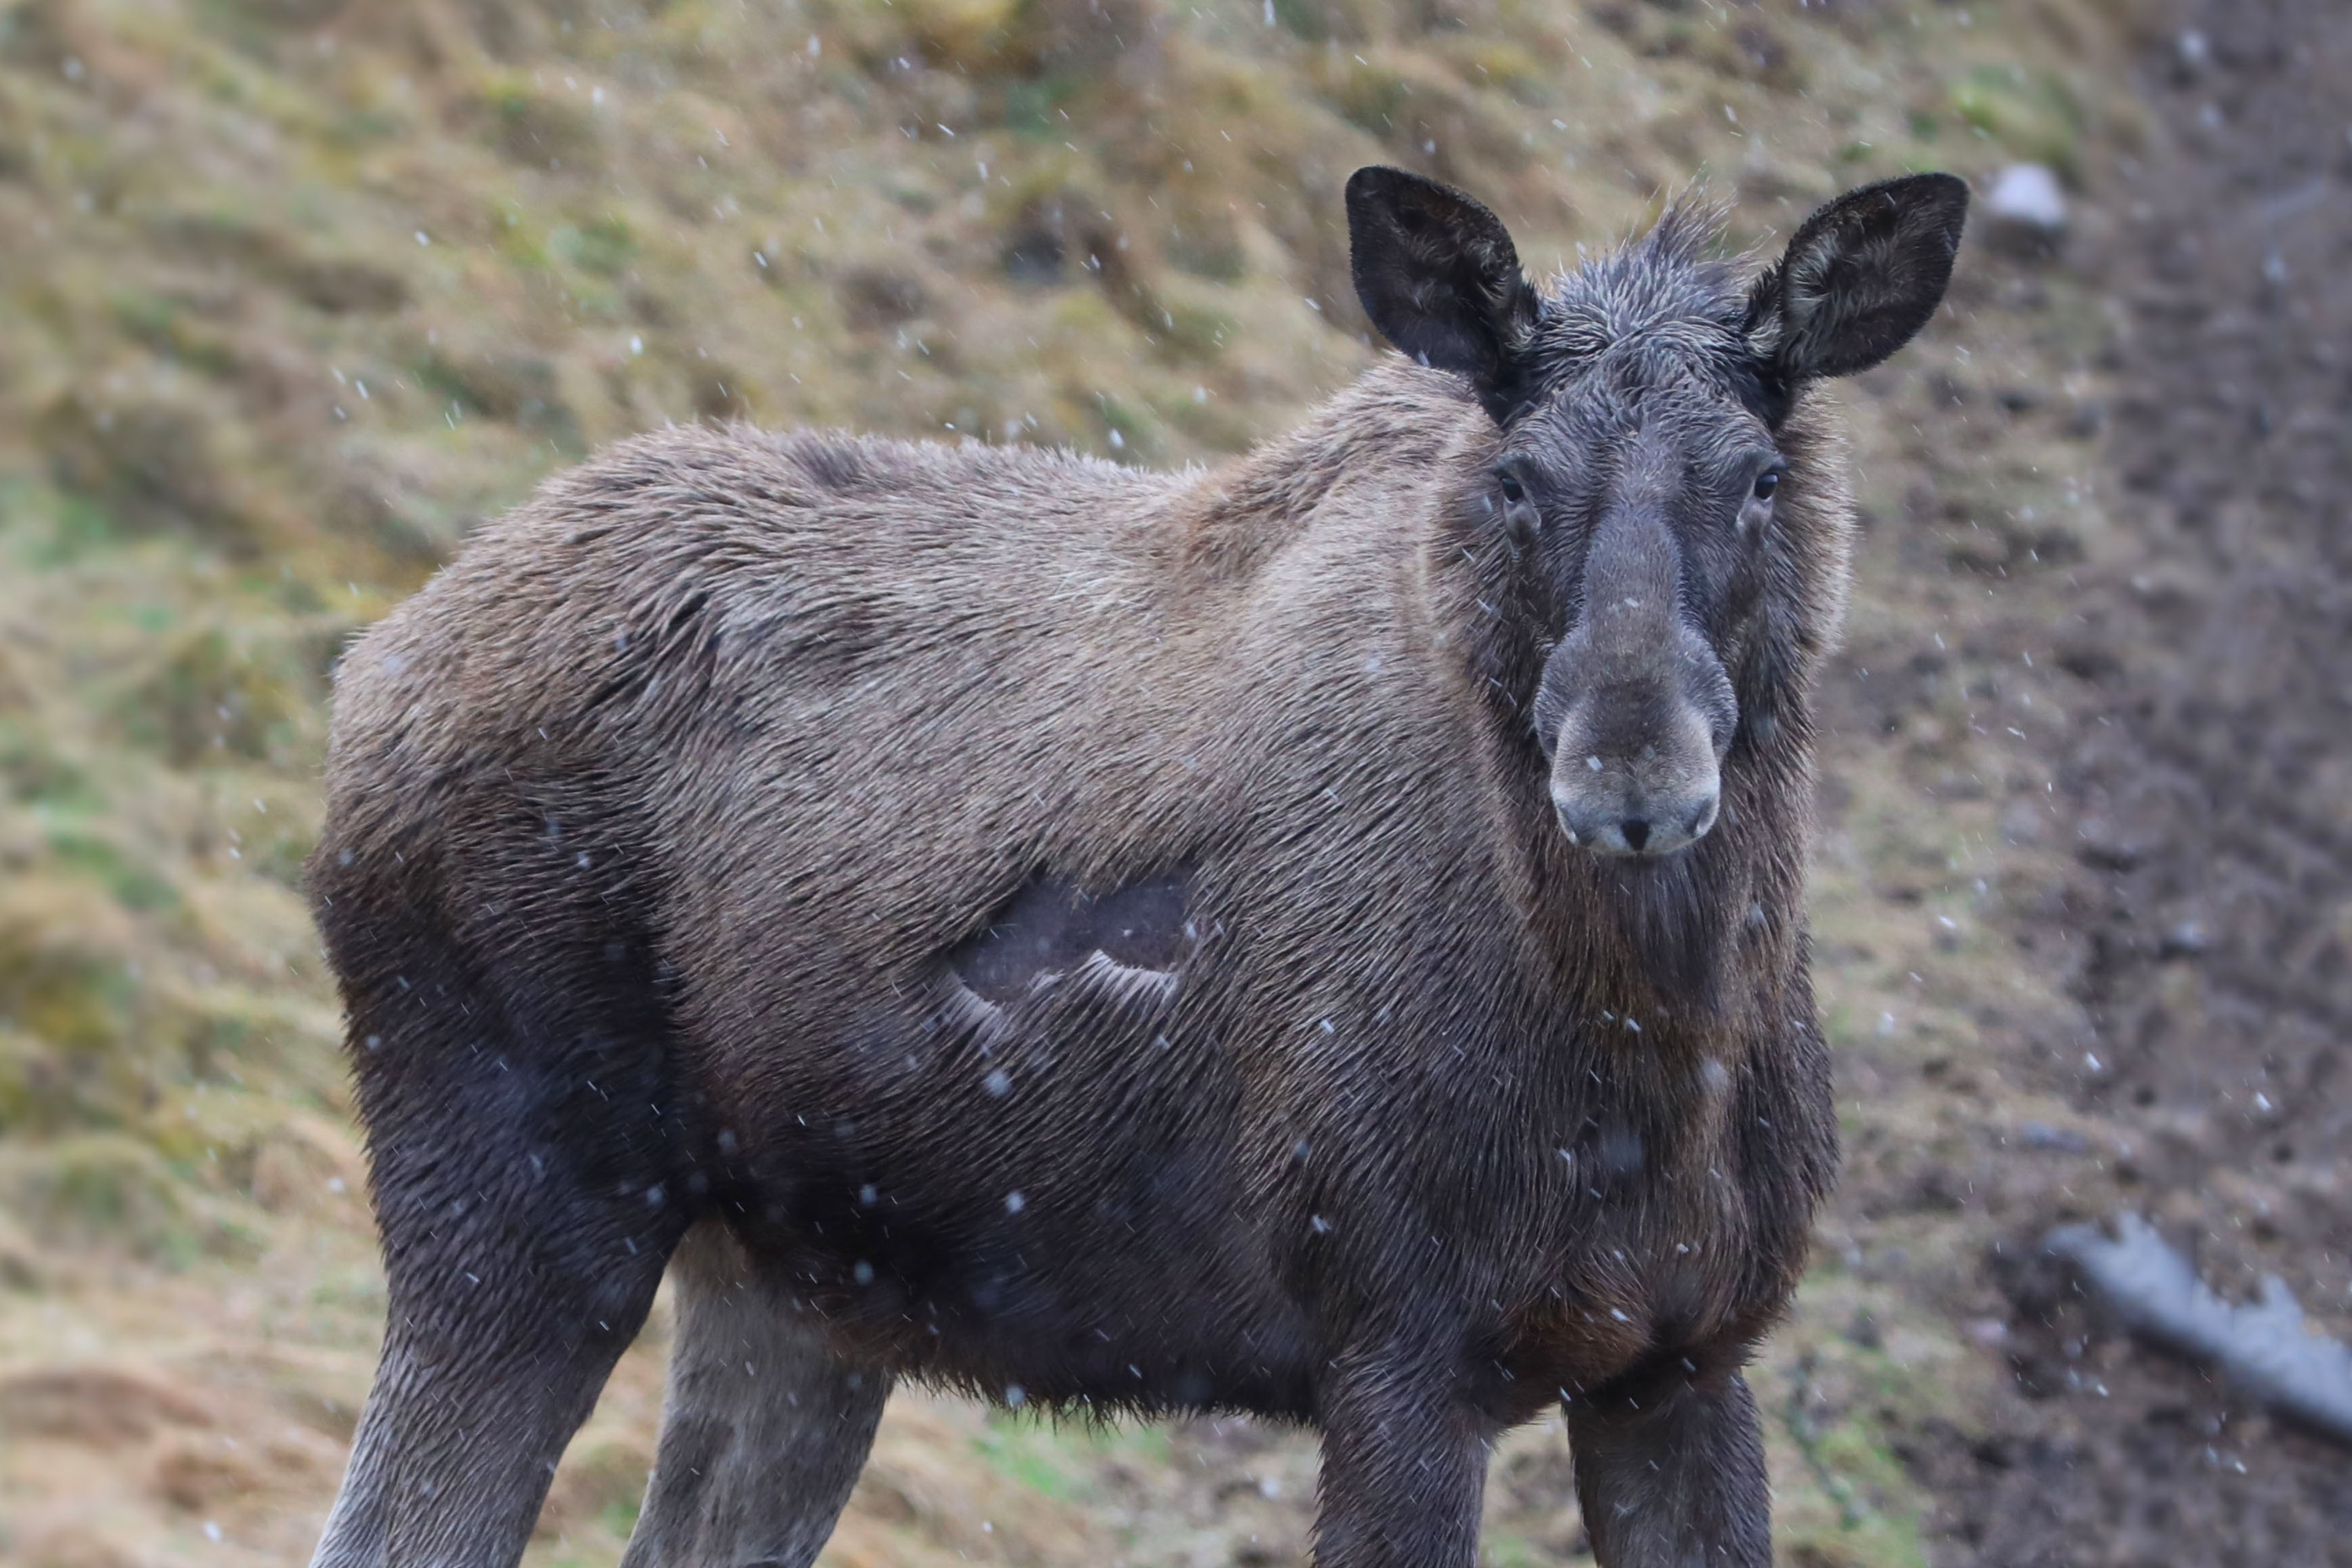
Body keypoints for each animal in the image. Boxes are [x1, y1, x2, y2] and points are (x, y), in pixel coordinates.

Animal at [308, 169, 1966, 1568]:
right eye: (1514, 478)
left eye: (1759, 477)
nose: (1633, 768)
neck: (1660, 1046)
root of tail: (368, 670)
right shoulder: (1400, 1347)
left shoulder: (1684, 1359)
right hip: (521, 1201)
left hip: (800, 1283)